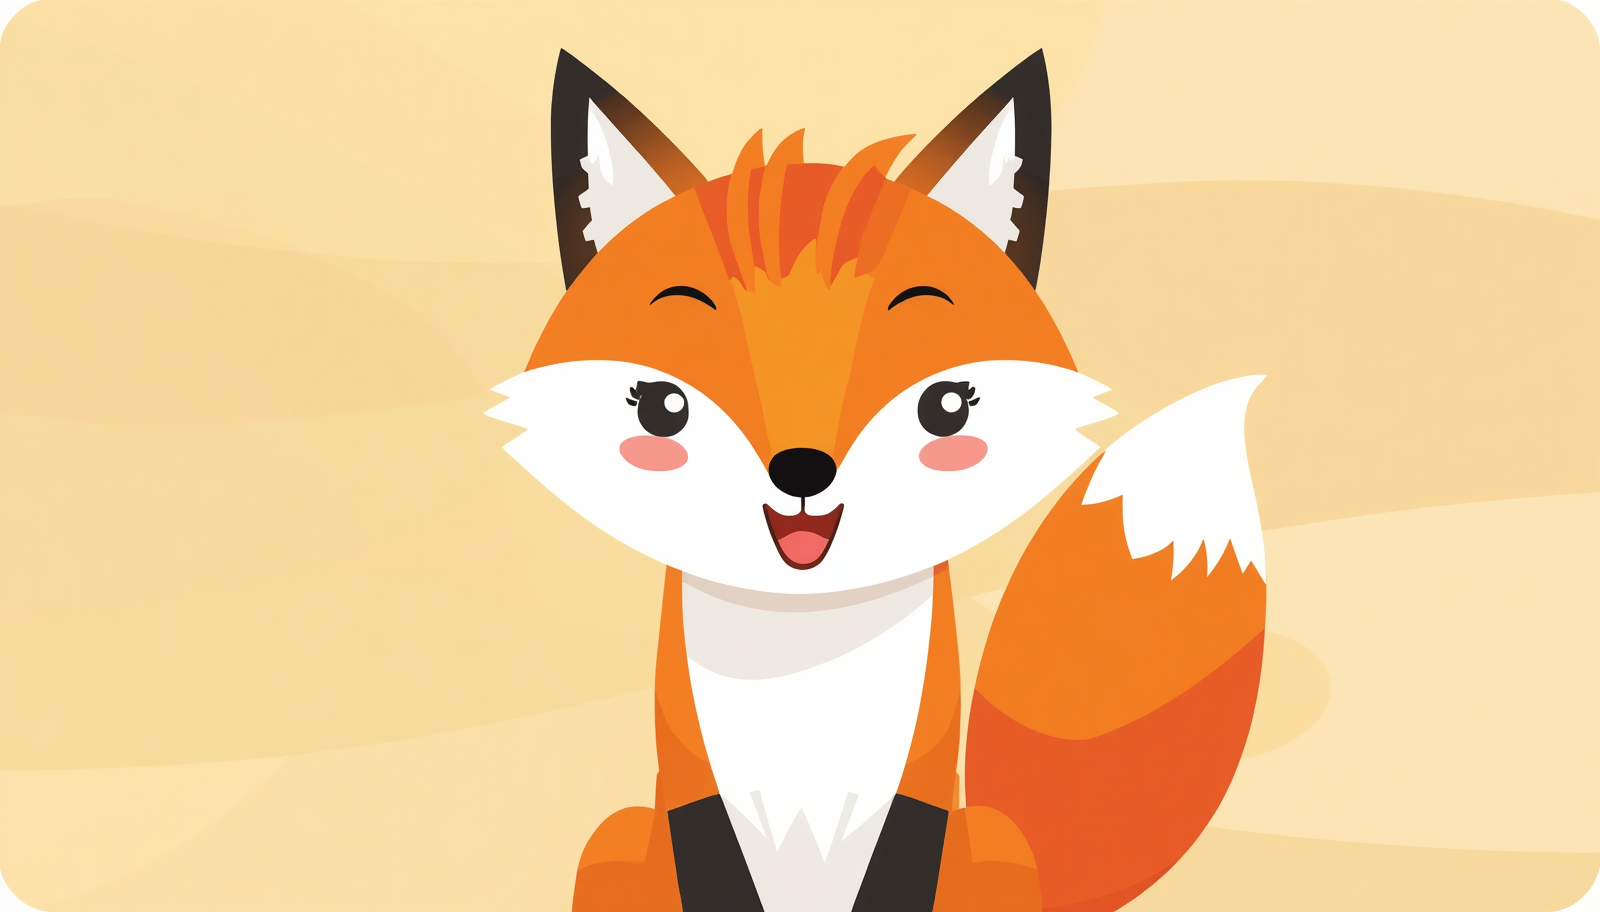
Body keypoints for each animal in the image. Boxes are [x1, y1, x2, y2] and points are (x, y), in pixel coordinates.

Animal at [487, 50, 1268, 912]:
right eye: (663, 409)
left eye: (947, 408)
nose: (801, 470)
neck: (806, 659)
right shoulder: (692, 797)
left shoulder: (919, 795)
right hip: (614, 841)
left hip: (993, 847)